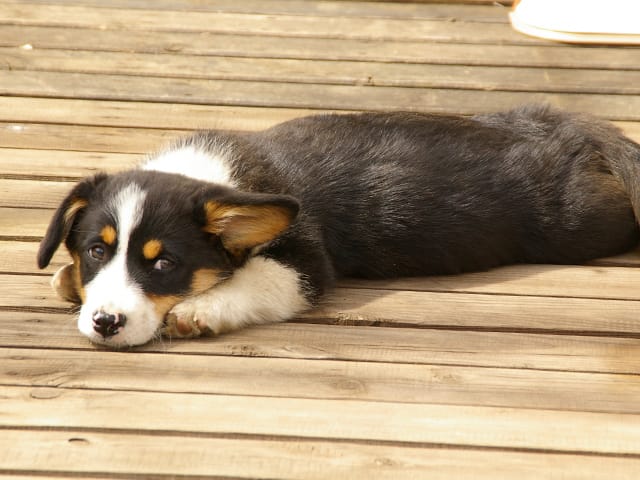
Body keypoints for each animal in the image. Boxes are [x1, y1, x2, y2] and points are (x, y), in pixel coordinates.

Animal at [37, 105, 640, 346]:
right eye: (95, 252)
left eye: (163, 264)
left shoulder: (305, 263)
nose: (106, 324)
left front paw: (197, 313)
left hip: (581, 221)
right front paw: (68, 280)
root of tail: (564, 127)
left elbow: (253, 283)